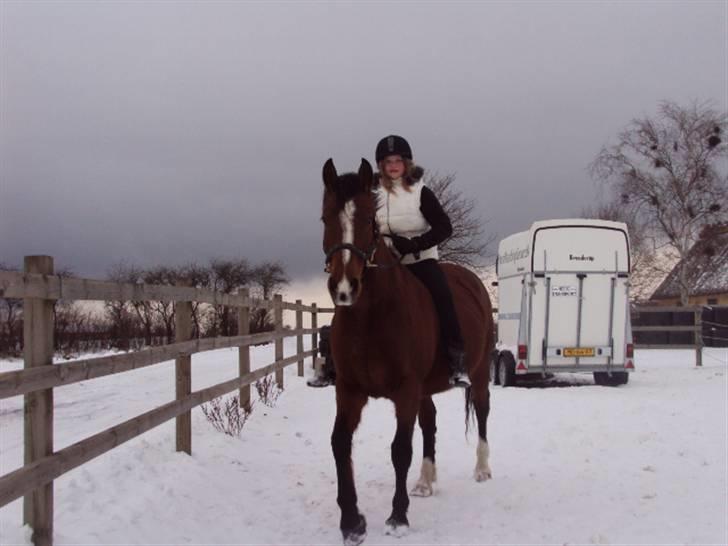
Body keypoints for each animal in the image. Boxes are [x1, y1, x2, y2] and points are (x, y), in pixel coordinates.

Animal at [322, 155, 498, 540]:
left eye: (368, 219)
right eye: (325, 217)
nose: (344, 288)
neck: (371, 317)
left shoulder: (405, 389)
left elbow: (400, 449)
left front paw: (397, 517)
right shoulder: (349, 389)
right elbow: (340, 444)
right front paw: (351, 521)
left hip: (477, 374)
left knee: (482, 412)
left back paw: (482, 470)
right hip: (425, 388)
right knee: (430, 423)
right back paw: (425, 481)